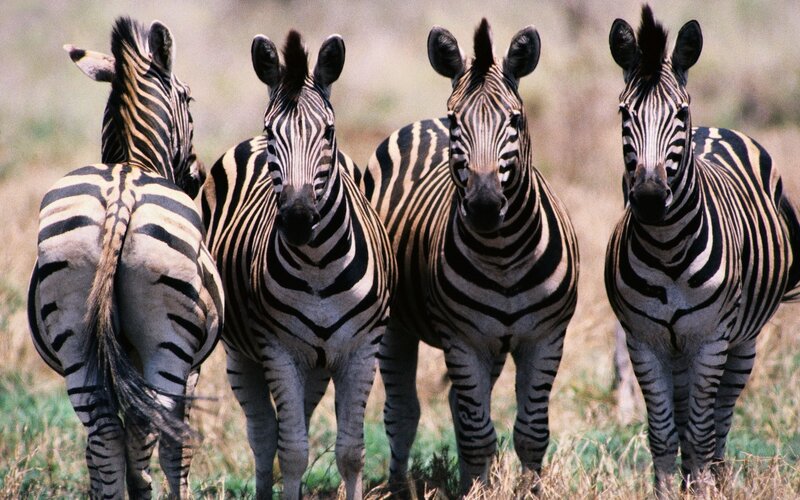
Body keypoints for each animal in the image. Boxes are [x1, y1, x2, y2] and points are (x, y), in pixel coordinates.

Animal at [27, 18, 223, 499]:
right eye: (189, 99)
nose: (197, 176)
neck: (133, 161)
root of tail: (121, 195)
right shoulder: (193, 369)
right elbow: (166, 445)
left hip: (76, 335)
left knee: (103, 434)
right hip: (167, 344)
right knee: (156, 431)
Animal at [201, 31, 396, 500]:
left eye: (329, 132)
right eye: (272, 133)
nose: (297, 219)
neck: (317, 266)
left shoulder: (362, 349)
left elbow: (350, 452)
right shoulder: (278, 350)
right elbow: (290, 451)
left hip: (318, 365)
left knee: (296, 425)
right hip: (243, 355)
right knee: (264, 435)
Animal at [355, 19, 579, 494]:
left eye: (515, 119)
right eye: (457, 120)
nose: (484, 205)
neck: (504, 253)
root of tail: (423, 123)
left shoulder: (546, 337)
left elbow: (531, 431)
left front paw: (526, 491)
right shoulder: (463, 339)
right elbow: (478, 434)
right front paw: (476, 491)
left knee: (460, 405)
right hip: (399, 327)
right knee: (403, 412)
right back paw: (400, 486)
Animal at [605, 6, 800, 497]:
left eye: (680, 112)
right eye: (624, 112)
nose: (649, 197)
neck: (667, 249)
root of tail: (715, 129)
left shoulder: (711, 341)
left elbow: (699, 429)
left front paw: (703, 488)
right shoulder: (644, 341)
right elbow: (663, 432)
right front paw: (667, 490)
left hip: (741, 342)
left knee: (720, 417)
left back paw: (717, 475)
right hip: (677, 349)